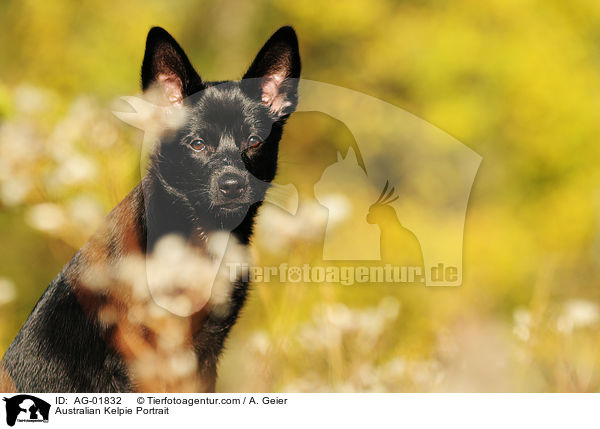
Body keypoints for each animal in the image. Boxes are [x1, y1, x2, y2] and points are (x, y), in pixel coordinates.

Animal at [0, 24, 300, 392]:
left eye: (254, 142)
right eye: (198, 144)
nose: (233, 185)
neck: (197, 236)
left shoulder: (205, 350)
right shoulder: (141, 357)